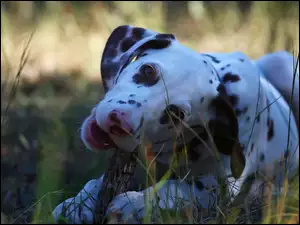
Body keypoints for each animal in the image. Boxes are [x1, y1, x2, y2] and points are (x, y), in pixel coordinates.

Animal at [52, 25, 298, 223]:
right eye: (148, 70)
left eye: (176, 114)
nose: (118, 121)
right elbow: (96, 184)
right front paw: (77, 205)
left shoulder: (219, 190)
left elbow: (176, 189)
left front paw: (134, 203)